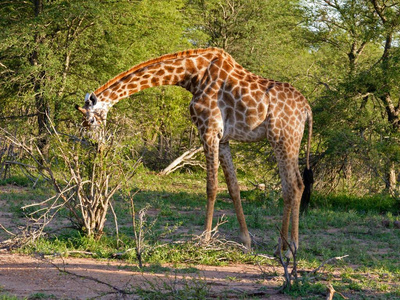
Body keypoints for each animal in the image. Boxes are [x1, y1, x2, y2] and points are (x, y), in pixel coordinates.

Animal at [75, 48, 312, 254]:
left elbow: (211, 187)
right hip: (290, 140)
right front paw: (246, 241)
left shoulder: (208, 130)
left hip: (282, 138)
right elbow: (233, 188)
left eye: (91, 120)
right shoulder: (223, 139)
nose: (94, 145)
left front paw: (204, 240)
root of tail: (307, 109)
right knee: (297, 185)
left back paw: (289, 248)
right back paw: (284, 246)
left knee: (292, 186)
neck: (192, 75)